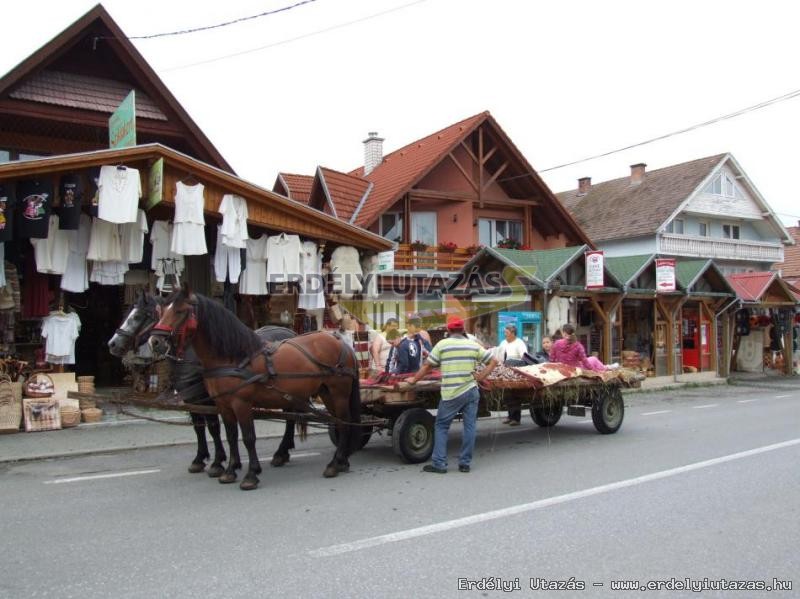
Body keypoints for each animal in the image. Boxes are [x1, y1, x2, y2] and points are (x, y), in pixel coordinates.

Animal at [104, 290, 296, 478]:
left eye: (138, 316)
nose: (112, 344)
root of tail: (290, 333)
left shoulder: (209, 400)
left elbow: (213, 427)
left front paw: (218, 462)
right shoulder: (192, 400)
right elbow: (199, 428)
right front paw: (200, 459)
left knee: (290, 418)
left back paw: (281, 452)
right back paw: (283, 451)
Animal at [148, 284, 362, 490]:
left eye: (180, 311)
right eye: (162, 310)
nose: (155, 341)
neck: (233, 357)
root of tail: (341, 342)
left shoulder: (241, 403)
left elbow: (248, 437)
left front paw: (250, 475)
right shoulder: (222, 404)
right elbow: (230, 435)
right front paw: (229, 470)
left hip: (339, 392)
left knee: (344, 422)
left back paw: (334, 464)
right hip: (325, 392)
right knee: (336, 421)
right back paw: (340, 461)